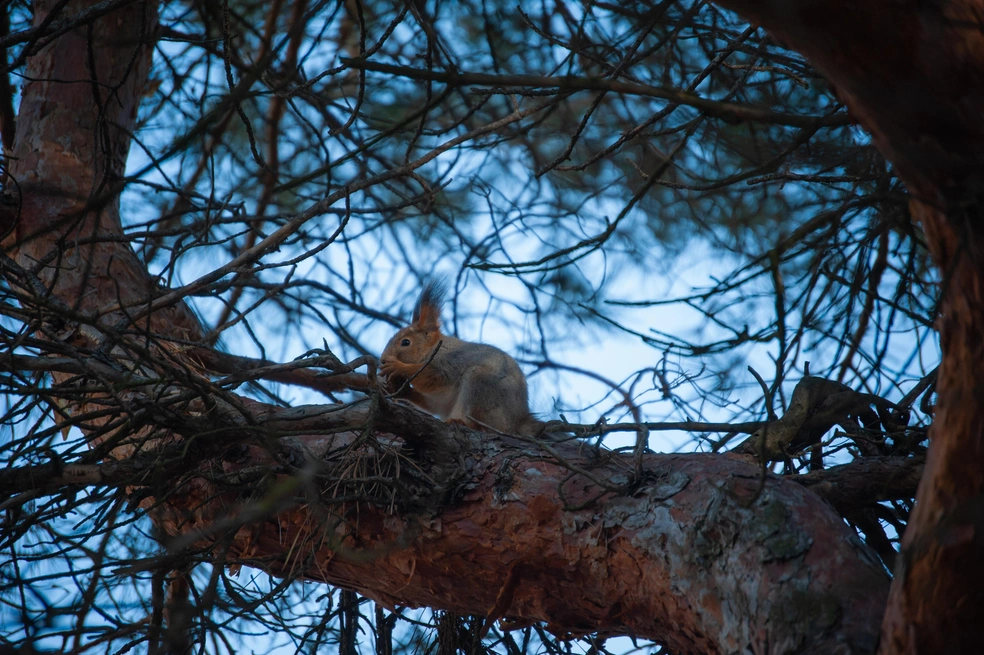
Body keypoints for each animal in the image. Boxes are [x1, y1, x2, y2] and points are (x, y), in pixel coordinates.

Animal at [378, 280, 544, 438]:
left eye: (405, 342)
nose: (382, 360)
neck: (433, 349)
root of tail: (517, 422)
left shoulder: (449, 363)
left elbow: (435, 377)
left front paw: (397, 367)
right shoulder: (440, 399)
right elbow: (433, 404)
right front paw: (401, 390)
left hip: (481, 384)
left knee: (481, 425)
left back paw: (462, 422)